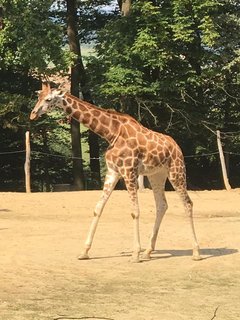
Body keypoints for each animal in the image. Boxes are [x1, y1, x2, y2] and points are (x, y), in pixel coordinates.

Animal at [30, 82, 202, 262]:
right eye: (38, 96)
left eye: (48, 99)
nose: (33, 114)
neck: (111, 133)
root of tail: (177, 146)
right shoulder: (113, 171)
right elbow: (98, 208)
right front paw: (84, 252)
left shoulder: (129, 171)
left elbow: (135, 211)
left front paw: (135, 254)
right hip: (156, 175)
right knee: (162, 205)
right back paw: (148, 251)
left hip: (176, 171)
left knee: (187, 203)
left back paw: (196, 252)